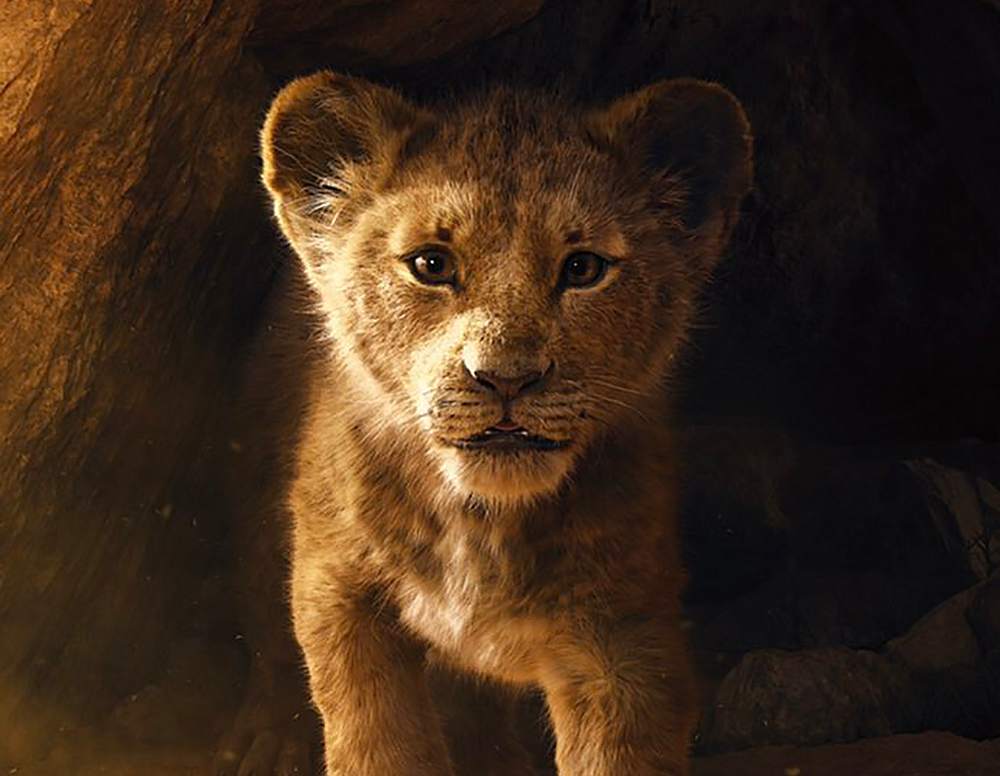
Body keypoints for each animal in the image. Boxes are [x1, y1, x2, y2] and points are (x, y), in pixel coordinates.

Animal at [216, 71, 752, 775]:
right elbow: (376, 738)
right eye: (431, 265)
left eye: (583, 268)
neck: (482, 523)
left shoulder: (626, 634)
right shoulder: (338, 591)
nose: (505, 377)